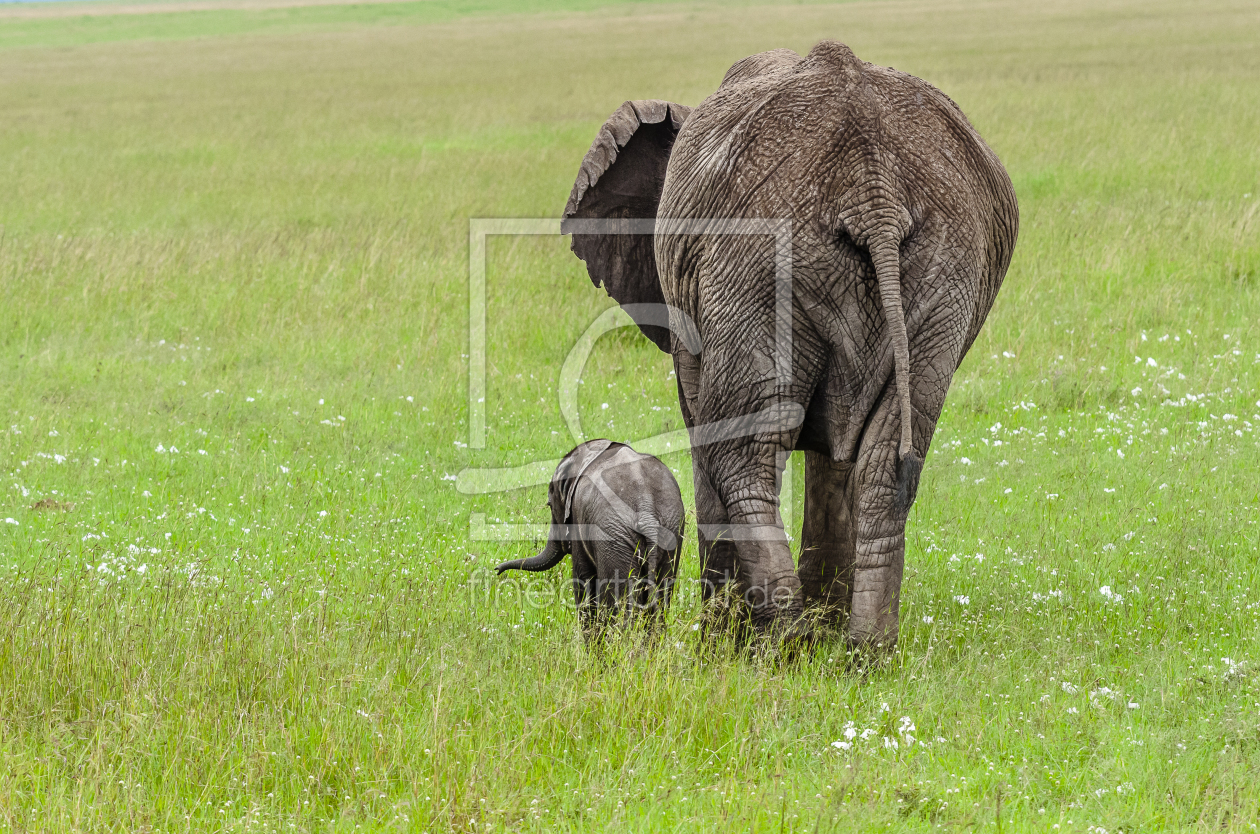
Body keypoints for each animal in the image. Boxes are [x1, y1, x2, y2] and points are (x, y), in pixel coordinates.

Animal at [493, 440, 685, 637]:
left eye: (550, 505)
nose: (497, 569)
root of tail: (647, 510)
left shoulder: (579, 520)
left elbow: (582, 580)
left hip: (613, 538)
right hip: (671, 531)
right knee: (661, 597)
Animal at [567, 42, 1018, 650]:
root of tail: (871, 181)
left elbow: (706, 427)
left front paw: (721, 643)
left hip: (759, 262)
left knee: (743, 451)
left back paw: (781, 645)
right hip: (944, 271)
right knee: (886, 461)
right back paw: (861, 652)